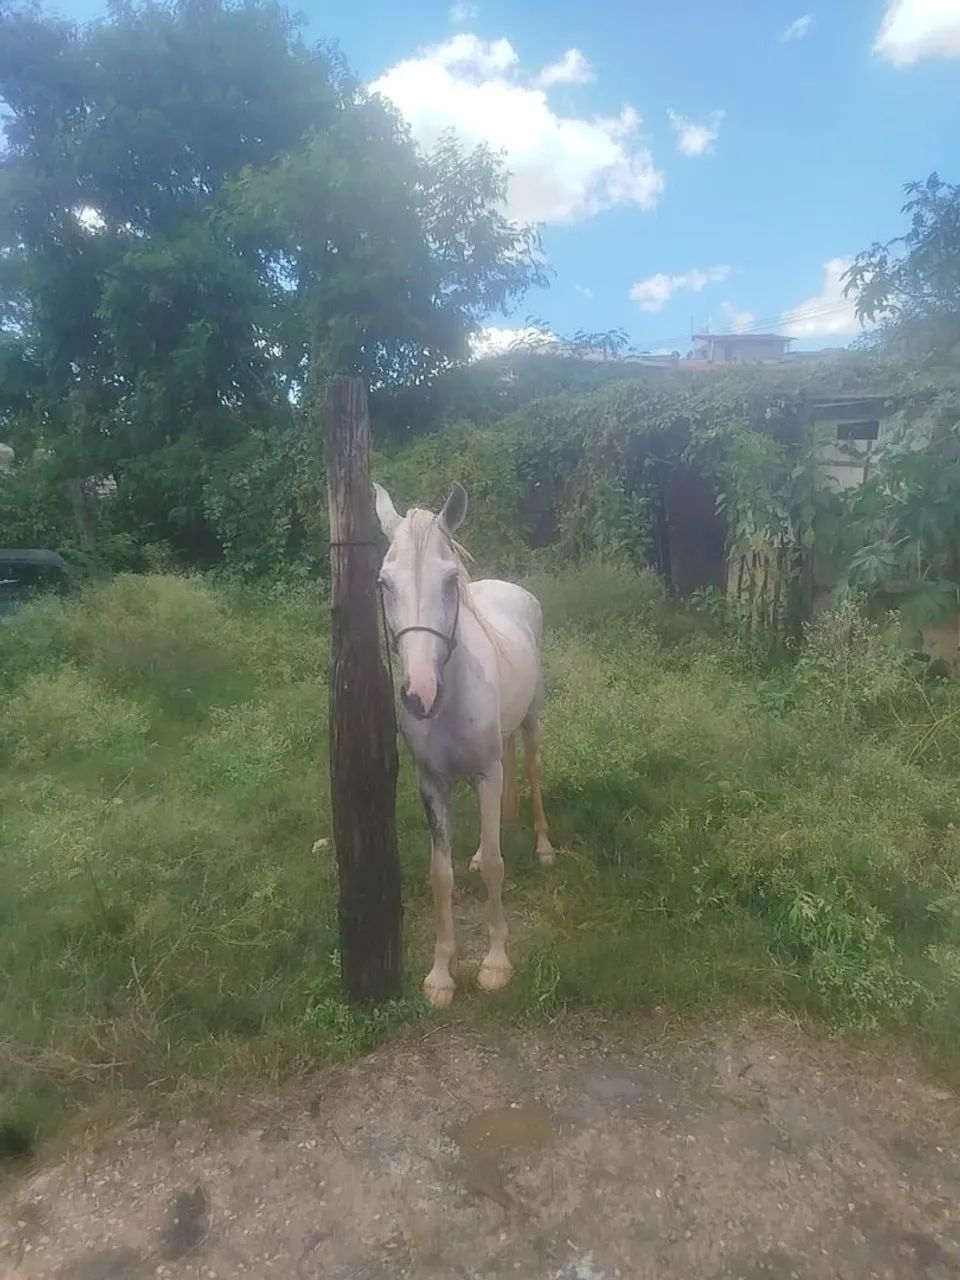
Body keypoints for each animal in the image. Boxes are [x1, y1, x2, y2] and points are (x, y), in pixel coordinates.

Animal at [373, 481, 554, 1007]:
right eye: (383, 584)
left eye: (451, 580)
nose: (419, 695)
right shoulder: (433, 784)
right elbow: (441, 875)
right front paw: (441, 974)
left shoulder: (486, 774)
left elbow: (497, 866)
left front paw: (495, 964)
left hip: (532, 718)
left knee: (530, 768)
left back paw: (543, 847)